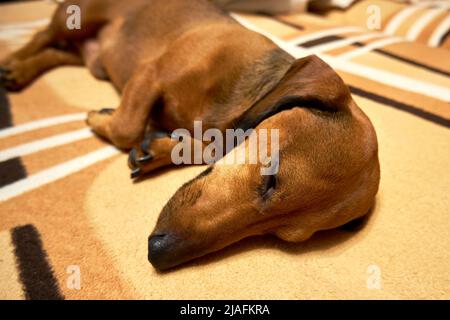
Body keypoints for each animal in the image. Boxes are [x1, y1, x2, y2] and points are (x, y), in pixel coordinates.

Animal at [0, 0, 380, 270]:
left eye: (282, 234)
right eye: (270, 179)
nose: (159, 252)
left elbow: (202, 147)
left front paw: (155, 149)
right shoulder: (151, 74)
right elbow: (126, 128)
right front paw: (105, 120)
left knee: (56, 51)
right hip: (75, 16)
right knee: (42, 36)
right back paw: (15, 63)